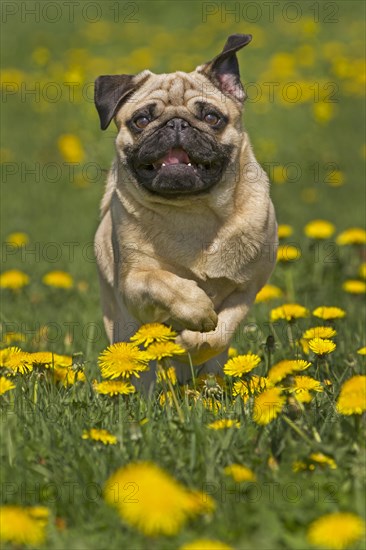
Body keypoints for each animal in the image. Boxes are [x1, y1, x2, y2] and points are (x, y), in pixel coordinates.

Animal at [93, 34, 278, 384]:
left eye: (211, 118)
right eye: (141, 120)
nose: (176, 123)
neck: (193, 211)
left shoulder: (246, 289)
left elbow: (220, 332)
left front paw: (193, 342)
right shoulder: (134, 282)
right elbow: (163, 282)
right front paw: (195, 309)